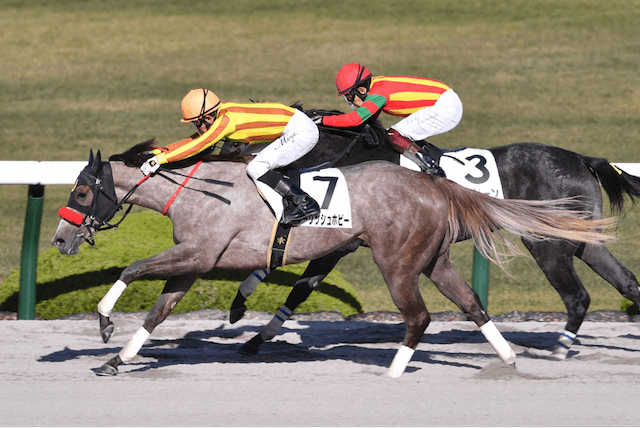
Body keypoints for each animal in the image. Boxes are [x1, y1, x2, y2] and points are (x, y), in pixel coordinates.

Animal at [52, 145, 612, 376]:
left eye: (81, 192)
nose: (58, 241)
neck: (197, 190)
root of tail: (436, 185)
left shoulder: (198, 253)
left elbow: (130, 270)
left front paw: (103, 322)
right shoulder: (192, 263)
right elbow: (157, 312)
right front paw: (115, 359)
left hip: (397, 262)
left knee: (419, 316)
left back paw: (393, 371)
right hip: (432, 260)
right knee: (472, 304)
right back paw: (508, 359)